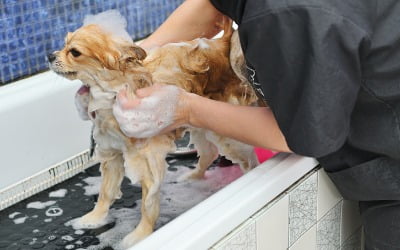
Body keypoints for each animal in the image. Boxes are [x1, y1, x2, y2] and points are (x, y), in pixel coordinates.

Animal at [47, 10, 260, 249]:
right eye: (63, 44)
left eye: (74, 52)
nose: (49, 55)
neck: (112, 94)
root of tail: (222, 43)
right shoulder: (112, 155)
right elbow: (105, 193)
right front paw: (93, 219)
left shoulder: (147, 163)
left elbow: (147, 206)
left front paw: (139, 235)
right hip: (201, 124)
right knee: (208, 154)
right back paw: (192, 177)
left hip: (224, 131)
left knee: (246, 159)